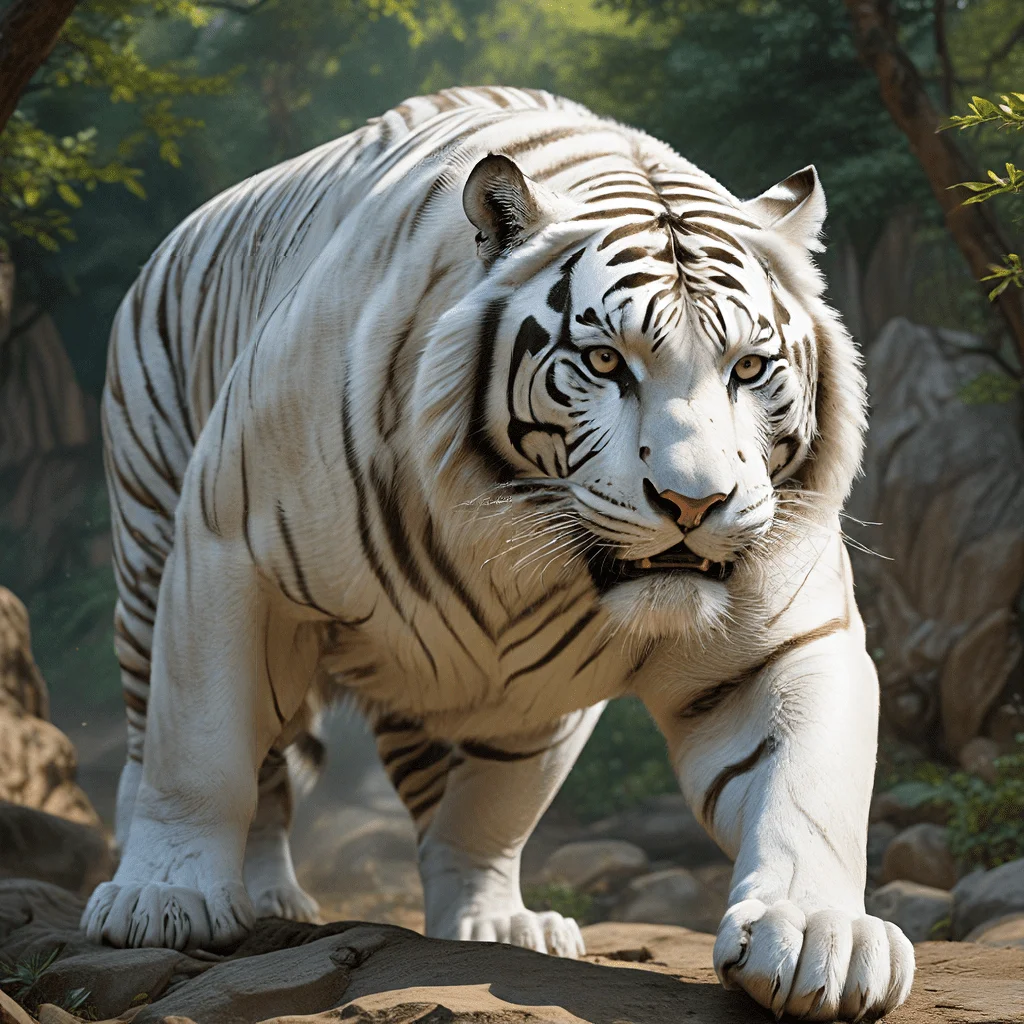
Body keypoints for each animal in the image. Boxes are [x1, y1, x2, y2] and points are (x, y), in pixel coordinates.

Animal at [84, 86, 913, 1021]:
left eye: (747, 368)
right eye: (605, 361)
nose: (694, 503)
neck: (510, 550)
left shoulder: (776, 642)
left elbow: (797, 781)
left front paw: (818, 940)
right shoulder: (229, 551)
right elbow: (203, 746)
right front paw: (168, 898)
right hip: (148, 548)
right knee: (183, 746)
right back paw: (229, 894)